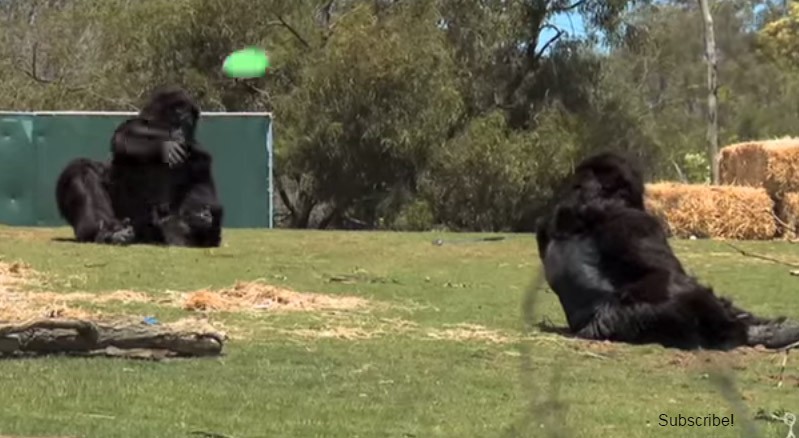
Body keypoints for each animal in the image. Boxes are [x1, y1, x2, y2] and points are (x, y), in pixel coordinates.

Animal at [108, 85, 223, 246]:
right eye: (179, 118)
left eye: (188, 124)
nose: (182, 131)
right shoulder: (138, 124)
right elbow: (123, 137)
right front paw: (164, 146)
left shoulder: (198, 153)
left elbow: (200, 184)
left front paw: (199, 215)